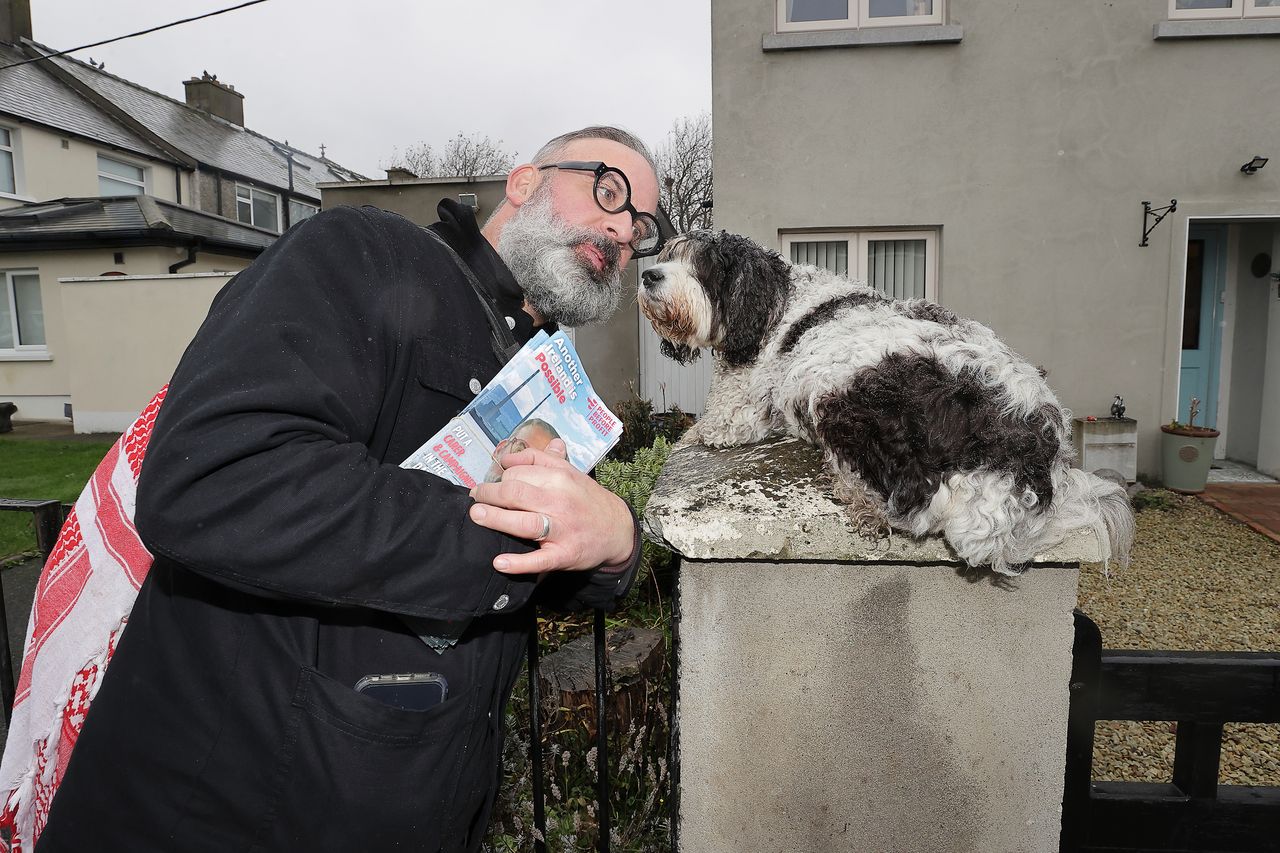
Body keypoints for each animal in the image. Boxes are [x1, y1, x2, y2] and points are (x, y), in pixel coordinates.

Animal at [637, 227, 1131, 571]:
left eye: (702, 265)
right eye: (668, 256)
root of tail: (1022, 455)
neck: (778, 303)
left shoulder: (747, 404)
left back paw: (860, 499)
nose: (648, 274)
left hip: (844, 396)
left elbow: (718, 423)